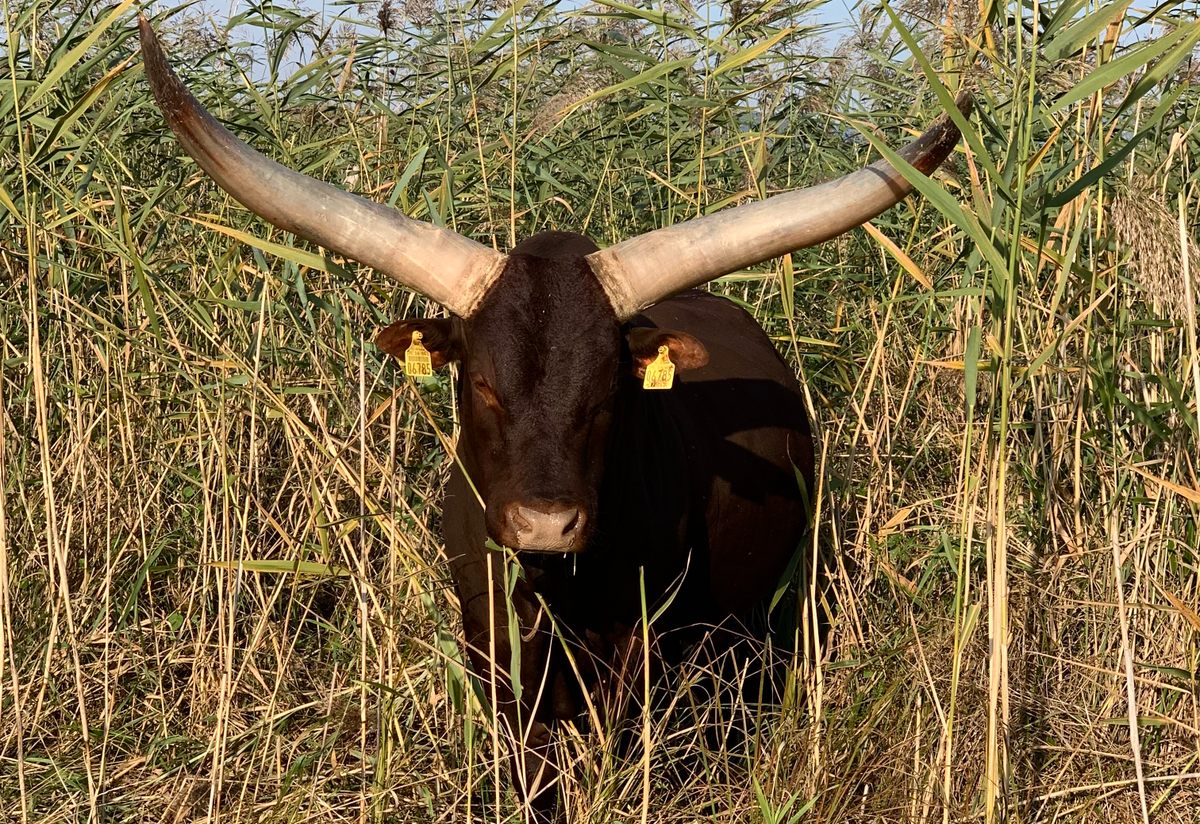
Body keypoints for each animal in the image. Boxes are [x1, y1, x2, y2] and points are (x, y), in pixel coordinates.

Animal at [138, 16, 974, 820]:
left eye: (609, 393)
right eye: (481, 385)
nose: (546, 524)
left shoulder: (643, 638)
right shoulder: (494, 642)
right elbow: (531, 768)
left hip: (746, 634)